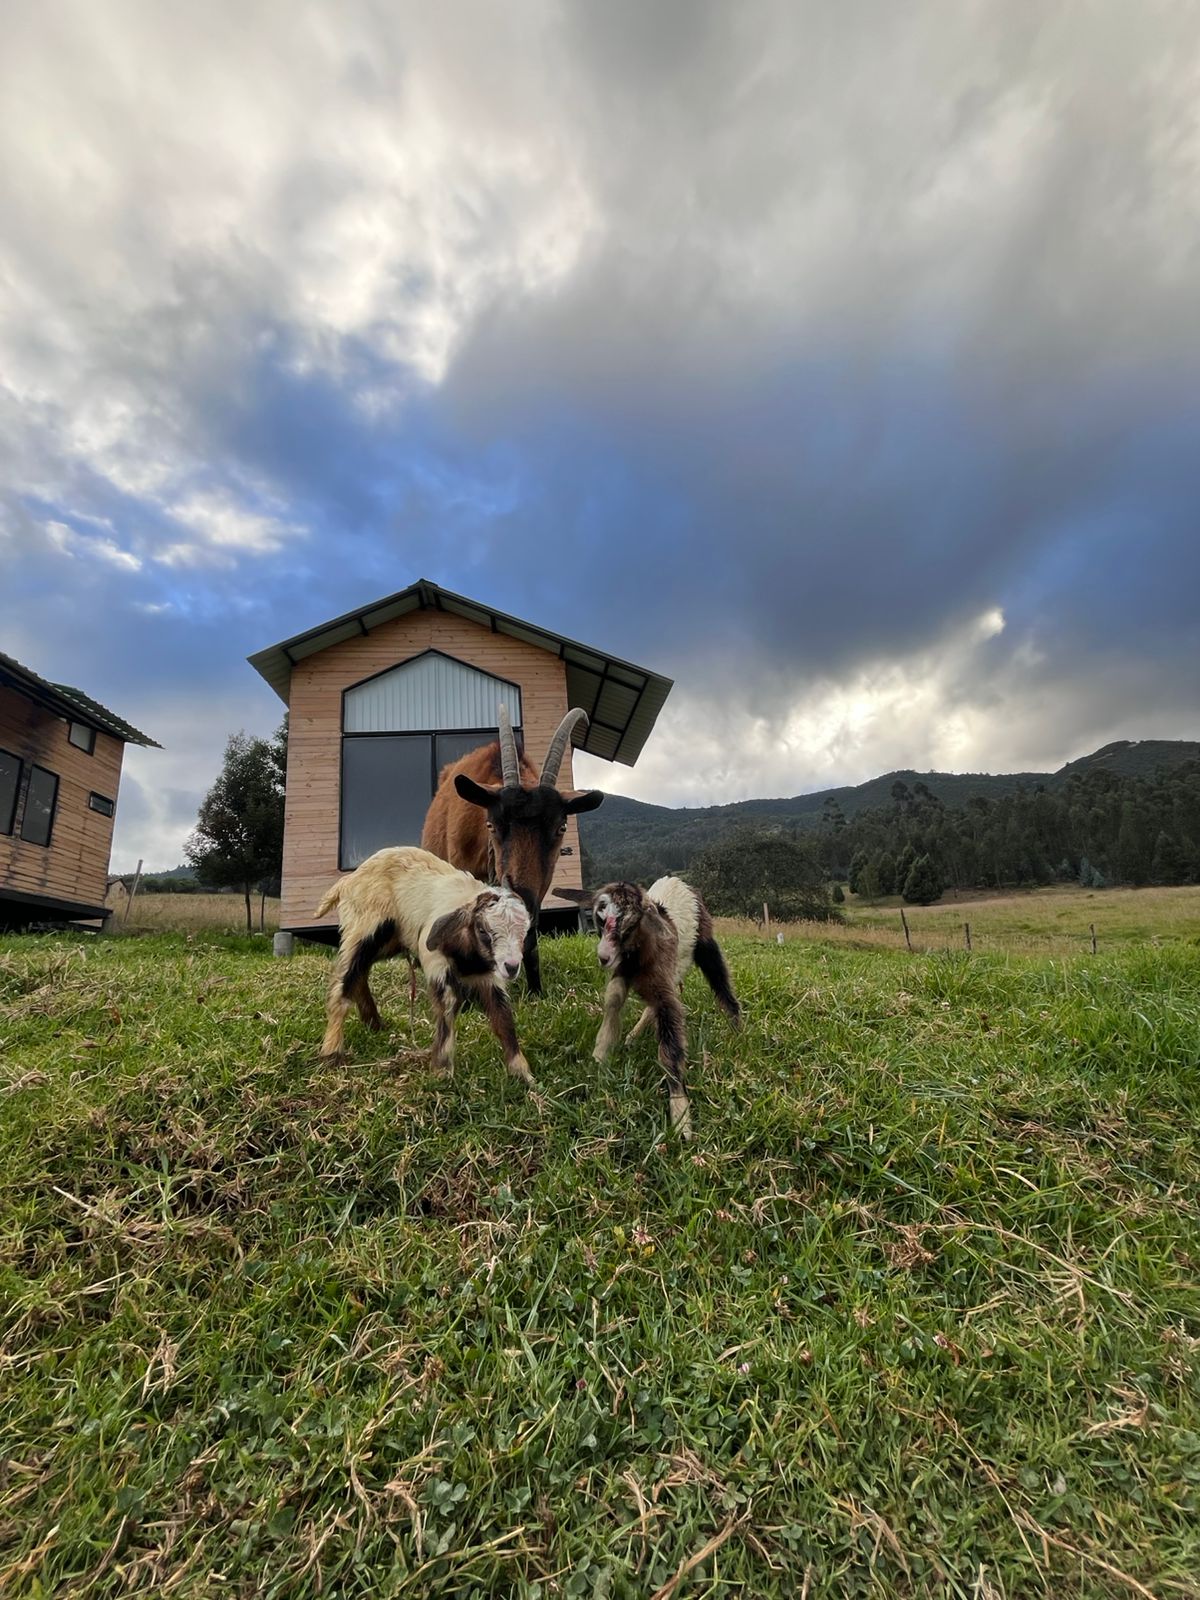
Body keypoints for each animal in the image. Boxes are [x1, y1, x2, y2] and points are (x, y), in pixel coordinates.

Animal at [315, 846, 534, 1088]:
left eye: (525, 931)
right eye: (483, 930)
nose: (512, 967)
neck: (468, 955)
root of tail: (348, 881)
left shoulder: (489, 974)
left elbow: (502, 1014)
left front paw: (521, 1072)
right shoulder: (435, 959)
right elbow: (448, 1004)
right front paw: (442, 1070)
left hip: (389, 940)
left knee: (359, 973)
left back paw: (373, 1023)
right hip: (363, 929)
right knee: (344, 980)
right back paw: (332, 1052)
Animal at [590, 877, 741, 1140]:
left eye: (630, 924)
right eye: (600, 918)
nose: (603, 957)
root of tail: (679, 881)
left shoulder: (663, 989)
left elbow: (671, 1041)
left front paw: (681, 1117)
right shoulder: (624, 971)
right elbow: (614, 998)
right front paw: (602, 1052)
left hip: (704, 943)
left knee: (720, 979)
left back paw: (737, 1029)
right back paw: (632, 1037)